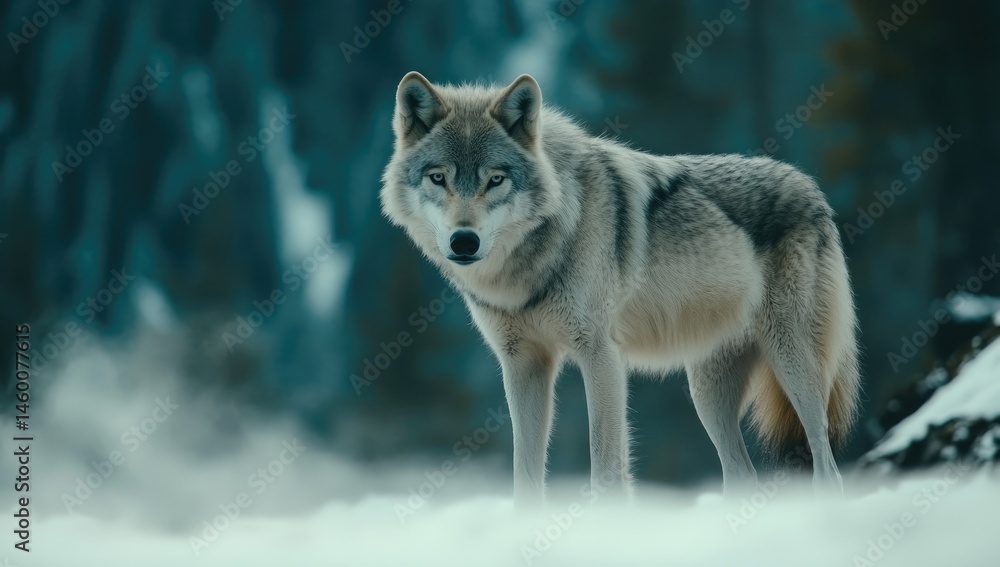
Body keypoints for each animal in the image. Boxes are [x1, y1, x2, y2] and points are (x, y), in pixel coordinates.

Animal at [381, 72, 860, 504]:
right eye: (438, 178)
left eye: (495, 179)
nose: (464, 241)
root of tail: (809, 185)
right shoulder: (522, 363)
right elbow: (526, 478)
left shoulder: (600, 354)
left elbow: (607, 468)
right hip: (706, 393)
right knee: (741, 476)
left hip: (793, 364)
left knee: (828, 468)